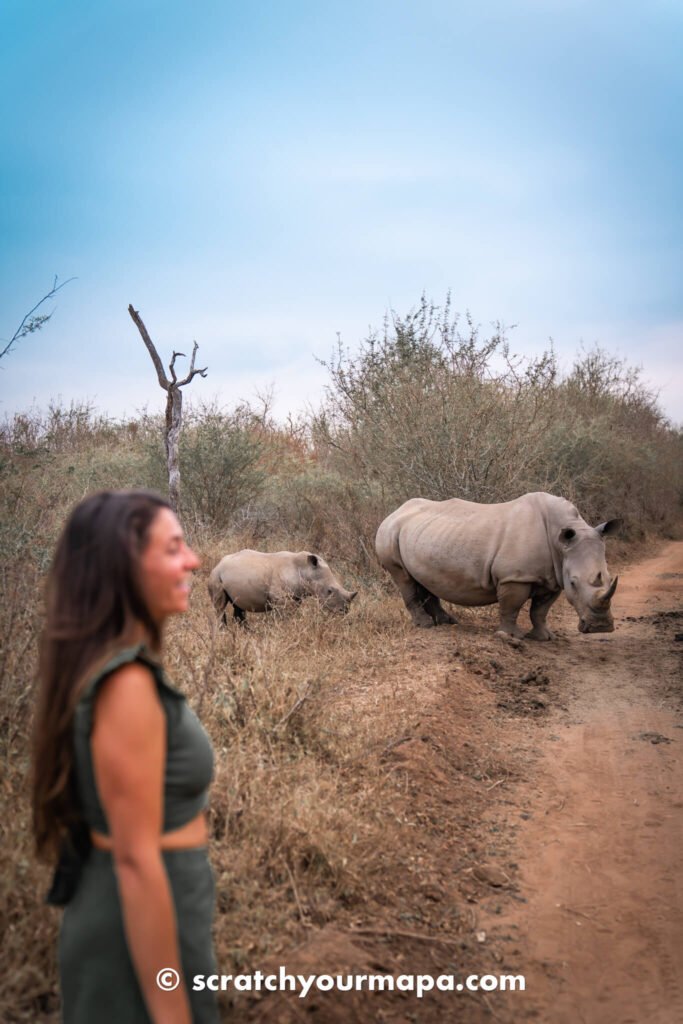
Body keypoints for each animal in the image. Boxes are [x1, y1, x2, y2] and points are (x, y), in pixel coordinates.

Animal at [208, 549, 357, 624]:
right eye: (329, 591)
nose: (344, 610)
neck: (305, 569)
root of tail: (218, 563)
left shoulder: (296, 596)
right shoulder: (279, 599)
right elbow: (284, 616)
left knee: (238, 606)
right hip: (215, 576)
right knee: (219, 607)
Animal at [375, 492, 621, 640]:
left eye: (610, 578)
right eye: (573, 583)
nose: (601, 627)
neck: (560, 540)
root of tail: (394, 512)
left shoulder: (553, 577)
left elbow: (540, 610)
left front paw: (544, 637)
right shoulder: (515, 576)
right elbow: (512, 606)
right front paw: (511, 637)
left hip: (423, 534)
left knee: (424, 579)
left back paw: (447, 623)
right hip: (389, 533)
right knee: (404, 578)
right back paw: (425, 625)